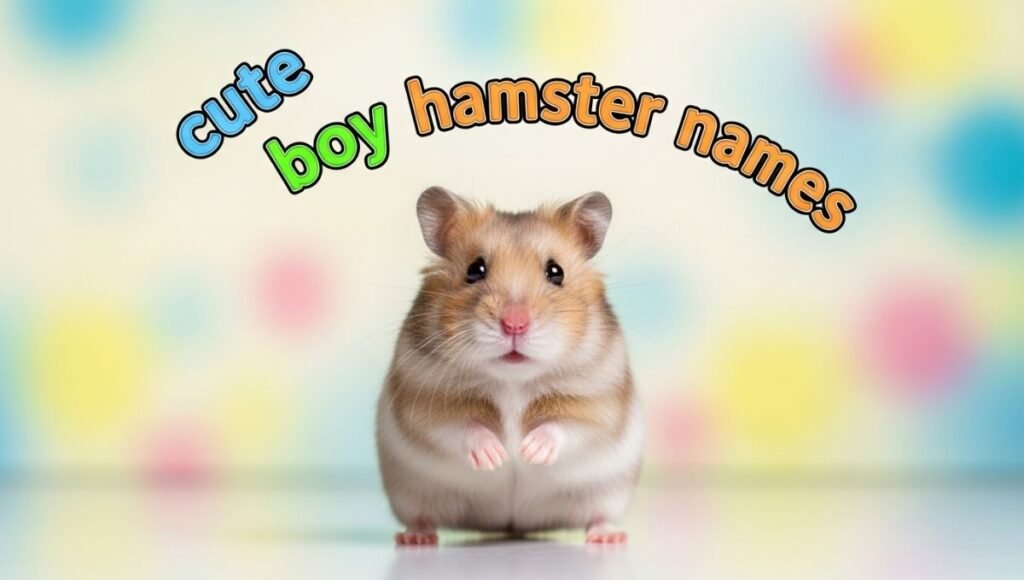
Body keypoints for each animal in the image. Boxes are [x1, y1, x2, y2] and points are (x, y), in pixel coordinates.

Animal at [376, 186, 643, 545]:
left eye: (555, 272)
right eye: (475, 269)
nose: (515, 324)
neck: (513, 379)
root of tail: (512, 525)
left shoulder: (599, 405)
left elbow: (566, 426)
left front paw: (529, 451)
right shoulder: (426, 404)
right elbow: (461, 427)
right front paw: (496, 457)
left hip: (608, 494)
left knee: (599, 516)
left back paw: (608, 538)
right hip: (412, 495)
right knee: (421, 517)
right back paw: (416, 538)